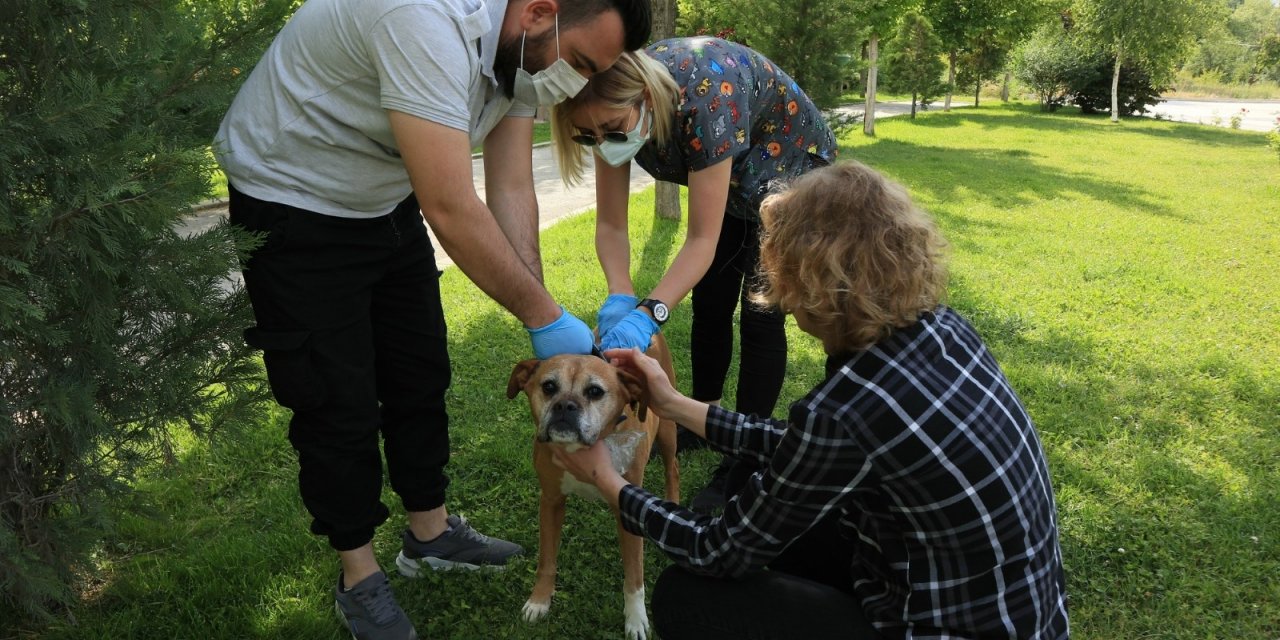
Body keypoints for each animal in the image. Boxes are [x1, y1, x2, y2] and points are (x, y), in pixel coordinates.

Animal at [504, 335, 680, 640]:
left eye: (595, 391)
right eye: (548, 387)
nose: (565, 406)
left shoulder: (628, 510)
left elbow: (634, 574)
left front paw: (636, 618)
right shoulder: (551, 502)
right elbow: (546, 560)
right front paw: (539, 600)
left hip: (668, 425)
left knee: (673, 469)